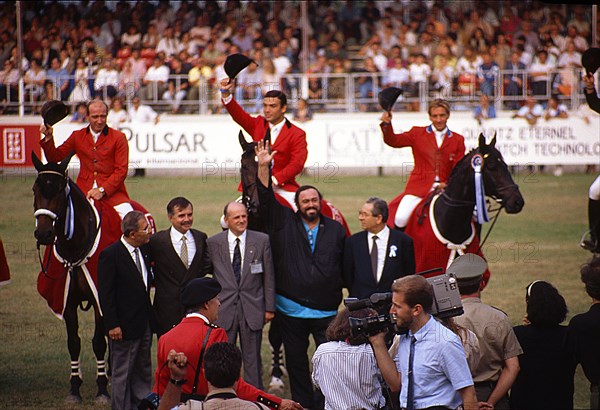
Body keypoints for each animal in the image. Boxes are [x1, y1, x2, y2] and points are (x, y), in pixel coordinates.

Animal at [31, 151, 109, 404]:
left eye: (58, 191)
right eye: (35, 189)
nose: (44, 234)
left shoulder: (100, 298)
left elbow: (98, 342)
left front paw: (102, 388)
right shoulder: (67, 301)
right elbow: (73, 342)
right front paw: (74, 387)